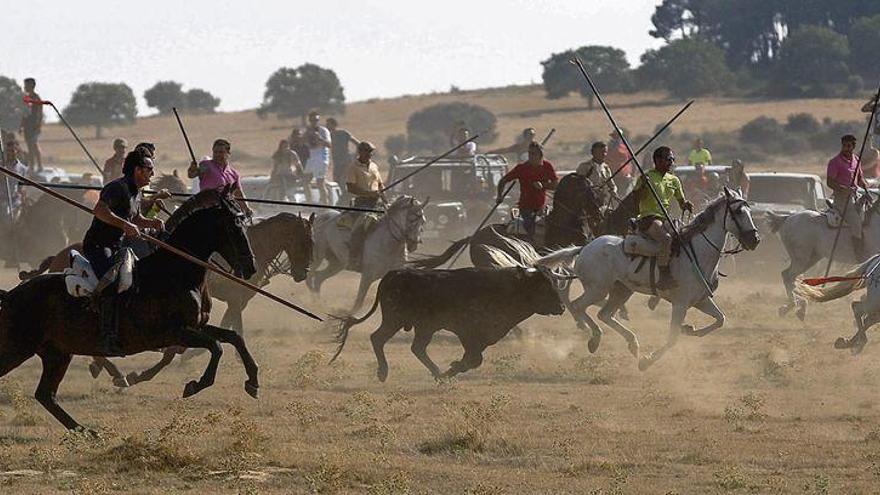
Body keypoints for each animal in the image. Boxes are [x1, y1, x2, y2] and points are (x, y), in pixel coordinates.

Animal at [0, 190, 262, 430]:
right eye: (234, 227)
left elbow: (233, 337)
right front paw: (195, 385)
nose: (251, 267)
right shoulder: (173, 333)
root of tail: (12, 295)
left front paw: (253, 382)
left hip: (57, 353)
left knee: (46, 394)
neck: (176, 274)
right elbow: (216, 346)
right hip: (17, 348)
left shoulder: (196, 325)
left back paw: (88, 432)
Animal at [536, 188, 764, 370]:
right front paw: (647, 361)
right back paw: (595, 338)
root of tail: (584, 247)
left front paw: (689, 329)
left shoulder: (700, 300)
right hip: (597, 289)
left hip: (622, 290)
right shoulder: (680, 304)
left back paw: (632, 343)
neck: (697, 253)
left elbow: (720, 319)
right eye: (737, 212)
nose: (754, 240)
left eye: (749, 211)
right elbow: (672, 338)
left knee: (604, 314)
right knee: (578, 306)